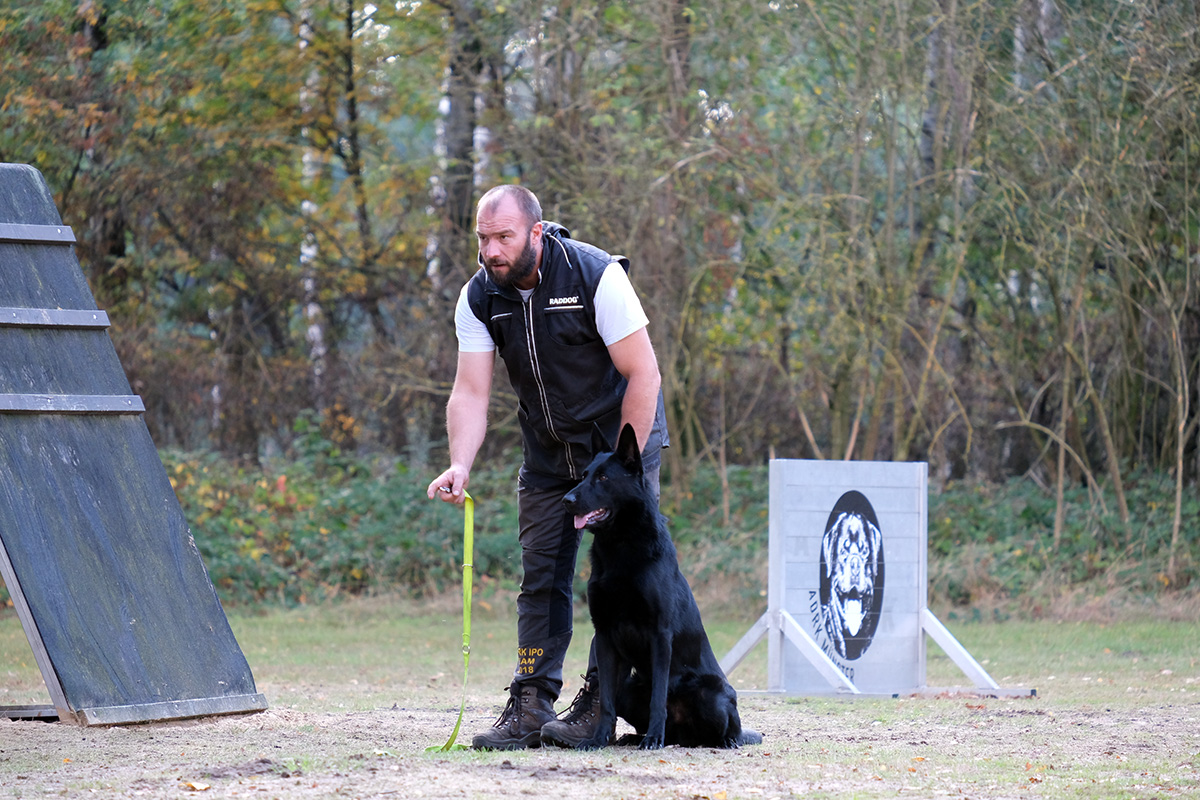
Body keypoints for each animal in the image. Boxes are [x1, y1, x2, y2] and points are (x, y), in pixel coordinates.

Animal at [559, 424, 758, 753]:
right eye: (584, 474)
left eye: (603, 478)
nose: (566, 499)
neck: (620, 547)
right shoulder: (604, 637)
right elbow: (606, 703)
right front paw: (598, 739)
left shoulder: (660, 635)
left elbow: (658, 698)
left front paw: (653, 738)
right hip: (629, 685)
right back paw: (636, 737)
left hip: (712, 695)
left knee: (722, 729)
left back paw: (717, 741)